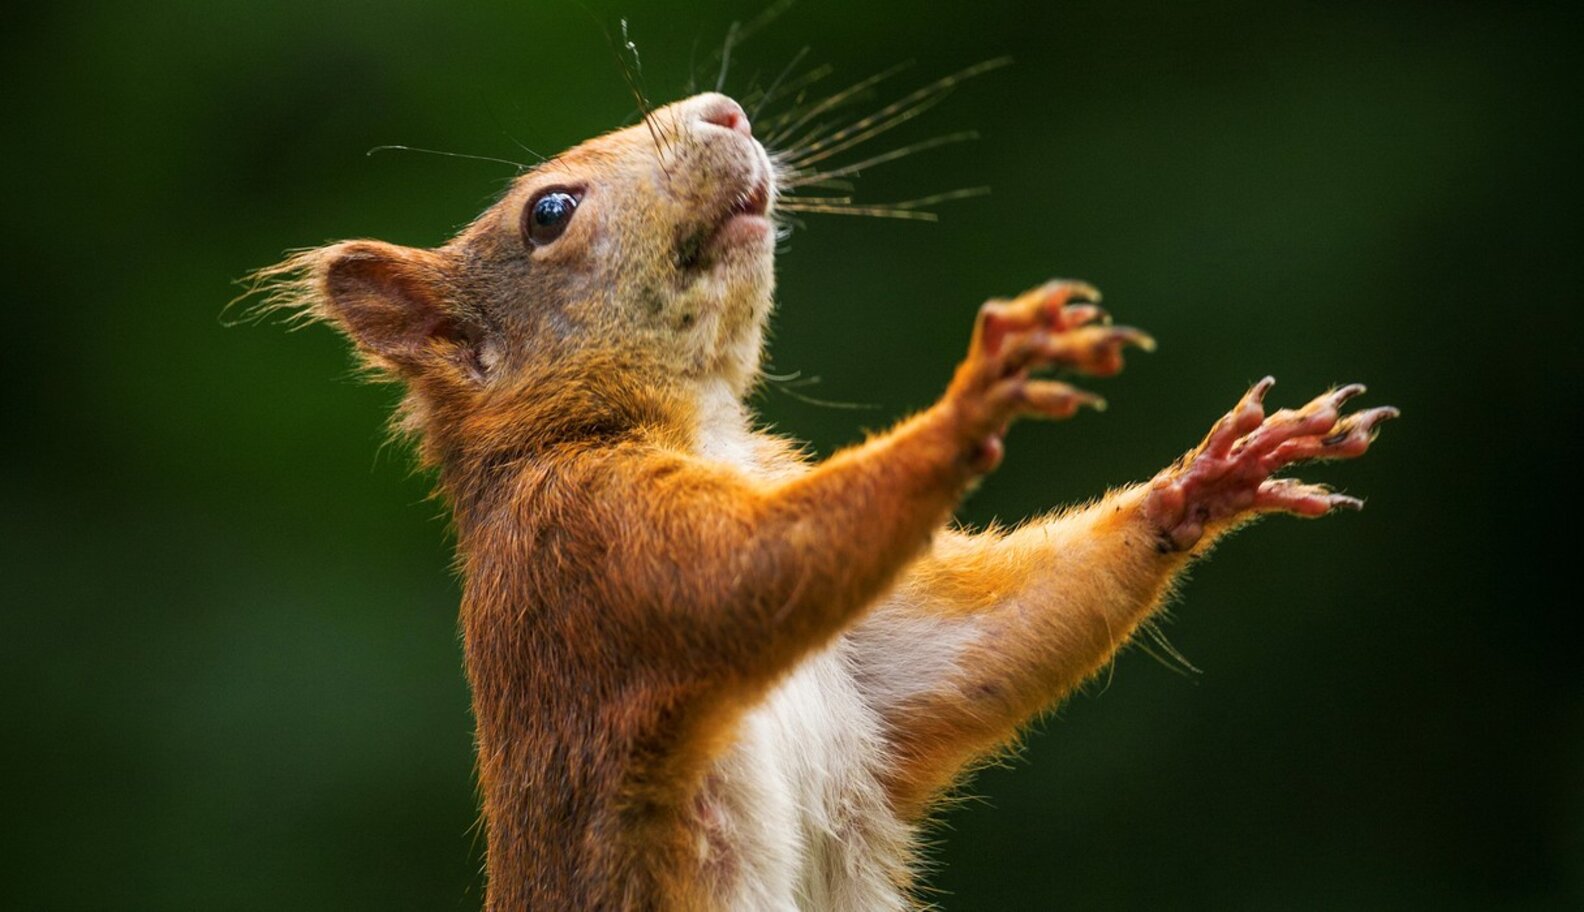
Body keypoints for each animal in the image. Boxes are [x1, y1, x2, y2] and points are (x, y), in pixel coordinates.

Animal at [253, 91, 1396, 910]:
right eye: (549, 212)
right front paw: (974, 392)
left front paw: (1211, 476)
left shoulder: (876, 660)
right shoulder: (583, 545)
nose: (726, 111)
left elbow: (981, 643)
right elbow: (751, 569)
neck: (690, 421)